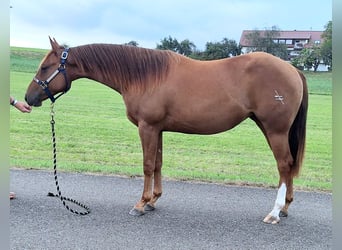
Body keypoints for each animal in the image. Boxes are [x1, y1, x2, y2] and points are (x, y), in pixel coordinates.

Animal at [24, 37, 308, 225]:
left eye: (45, 67)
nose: (28, 98)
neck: (145, 76)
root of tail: (292, 68)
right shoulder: (158, 129)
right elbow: (158, 163)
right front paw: (153, 201)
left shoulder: (147, 127)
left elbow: (148, 165)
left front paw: (140, 204)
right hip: (268, 127)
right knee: (288, 165)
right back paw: (285, 208)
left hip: (275, 129)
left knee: (284, 164)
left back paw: (274, 212)